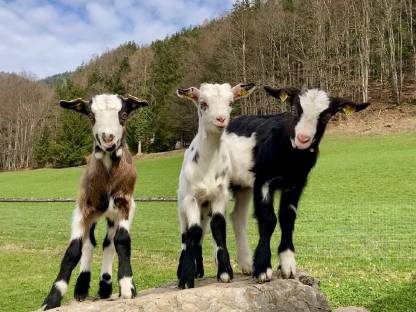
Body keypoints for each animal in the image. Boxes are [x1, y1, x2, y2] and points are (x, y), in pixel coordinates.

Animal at [41, 94, 149, 308]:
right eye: (91, 115)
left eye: (124, 115)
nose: (108, 139)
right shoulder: (83, 209)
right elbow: (74, 250)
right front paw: (52, 298)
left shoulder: (125, 204)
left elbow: (121, 241)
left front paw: (127, 286)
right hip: (93, 215)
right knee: (90, 242)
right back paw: (82, 287)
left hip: (113, 215)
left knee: (109, 243)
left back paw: (105, 285)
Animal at [175, 82, 255, 288]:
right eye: (203, 103)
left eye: (231, 102)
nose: (221, 119)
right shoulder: (191, 199)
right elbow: (192, 233)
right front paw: (185, 278)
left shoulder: (220, 196)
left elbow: (218, 226)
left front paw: (225, 272)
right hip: (182, 208)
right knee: (186, 236)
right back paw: (184, 269)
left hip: (205, 209)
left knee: (202, 234)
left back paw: (200, 270)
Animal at [226, 86, 368, 282]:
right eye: (294, 109)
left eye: (326, 115)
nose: (303, 138)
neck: (290, 157)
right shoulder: (263, 180)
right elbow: (268, 219)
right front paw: (262, 268)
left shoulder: (296, 184)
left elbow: (287, 218)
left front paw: (288, 264)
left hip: (243, 186)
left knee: (237, 217)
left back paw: (246, 264)